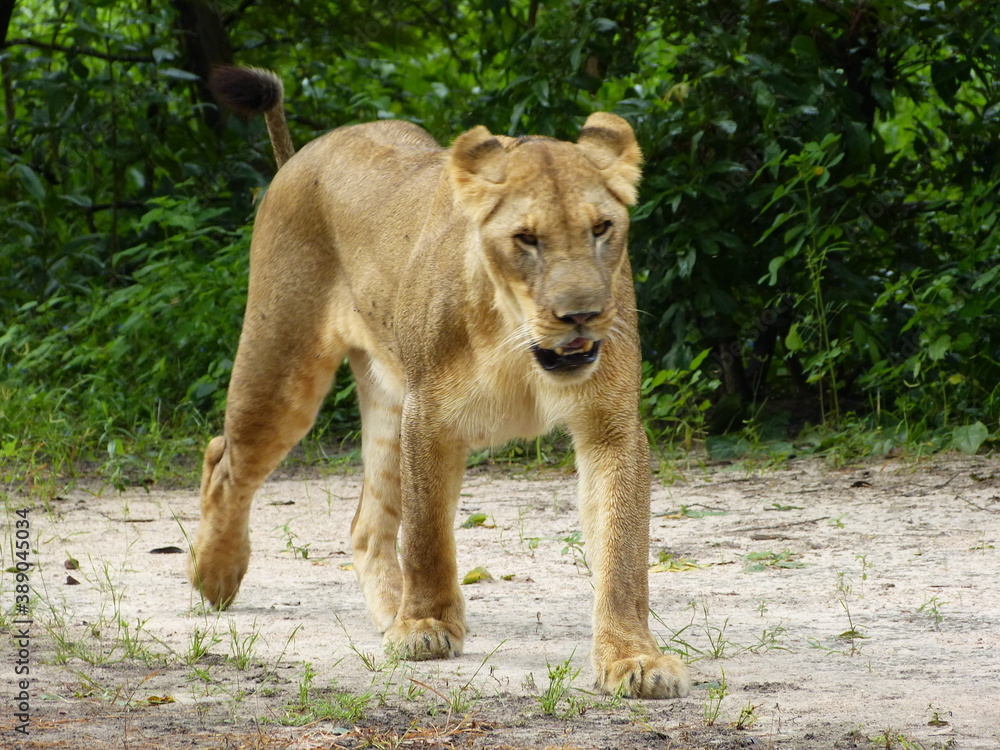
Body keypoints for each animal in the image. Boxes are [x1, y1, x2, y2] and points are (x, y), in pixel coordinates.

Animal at [190, 65, 690, 699]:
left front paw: (634, 657)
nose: (580, 315)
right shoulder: (428, 415)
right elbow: (427, 533)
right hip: (282, 364)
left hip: (385, 401)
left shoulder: (611, 425)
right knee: (224, 458)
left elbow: (623, 549)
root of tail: (303, 152)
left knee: (366, 525)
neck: (517, 343)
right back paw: (215, 574)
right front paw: (424, 626)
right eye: (526, 239)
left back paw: (388, 610)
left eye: (601, 228)